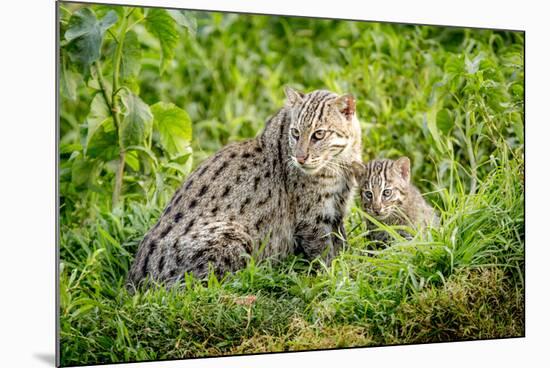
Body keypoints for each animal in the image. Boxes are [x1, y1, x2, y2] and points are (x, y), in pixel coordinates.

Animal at [127, 87, 364, 288]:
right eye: (296, 133)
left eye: (319, 134)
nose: (300, 158)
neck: (340, 162)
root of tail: (132, 285)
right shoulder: (312, 218)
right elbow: (324, 254)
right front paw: (335, 276)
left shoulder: (337, 209)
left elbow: (341, 243)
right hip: (234, 236)